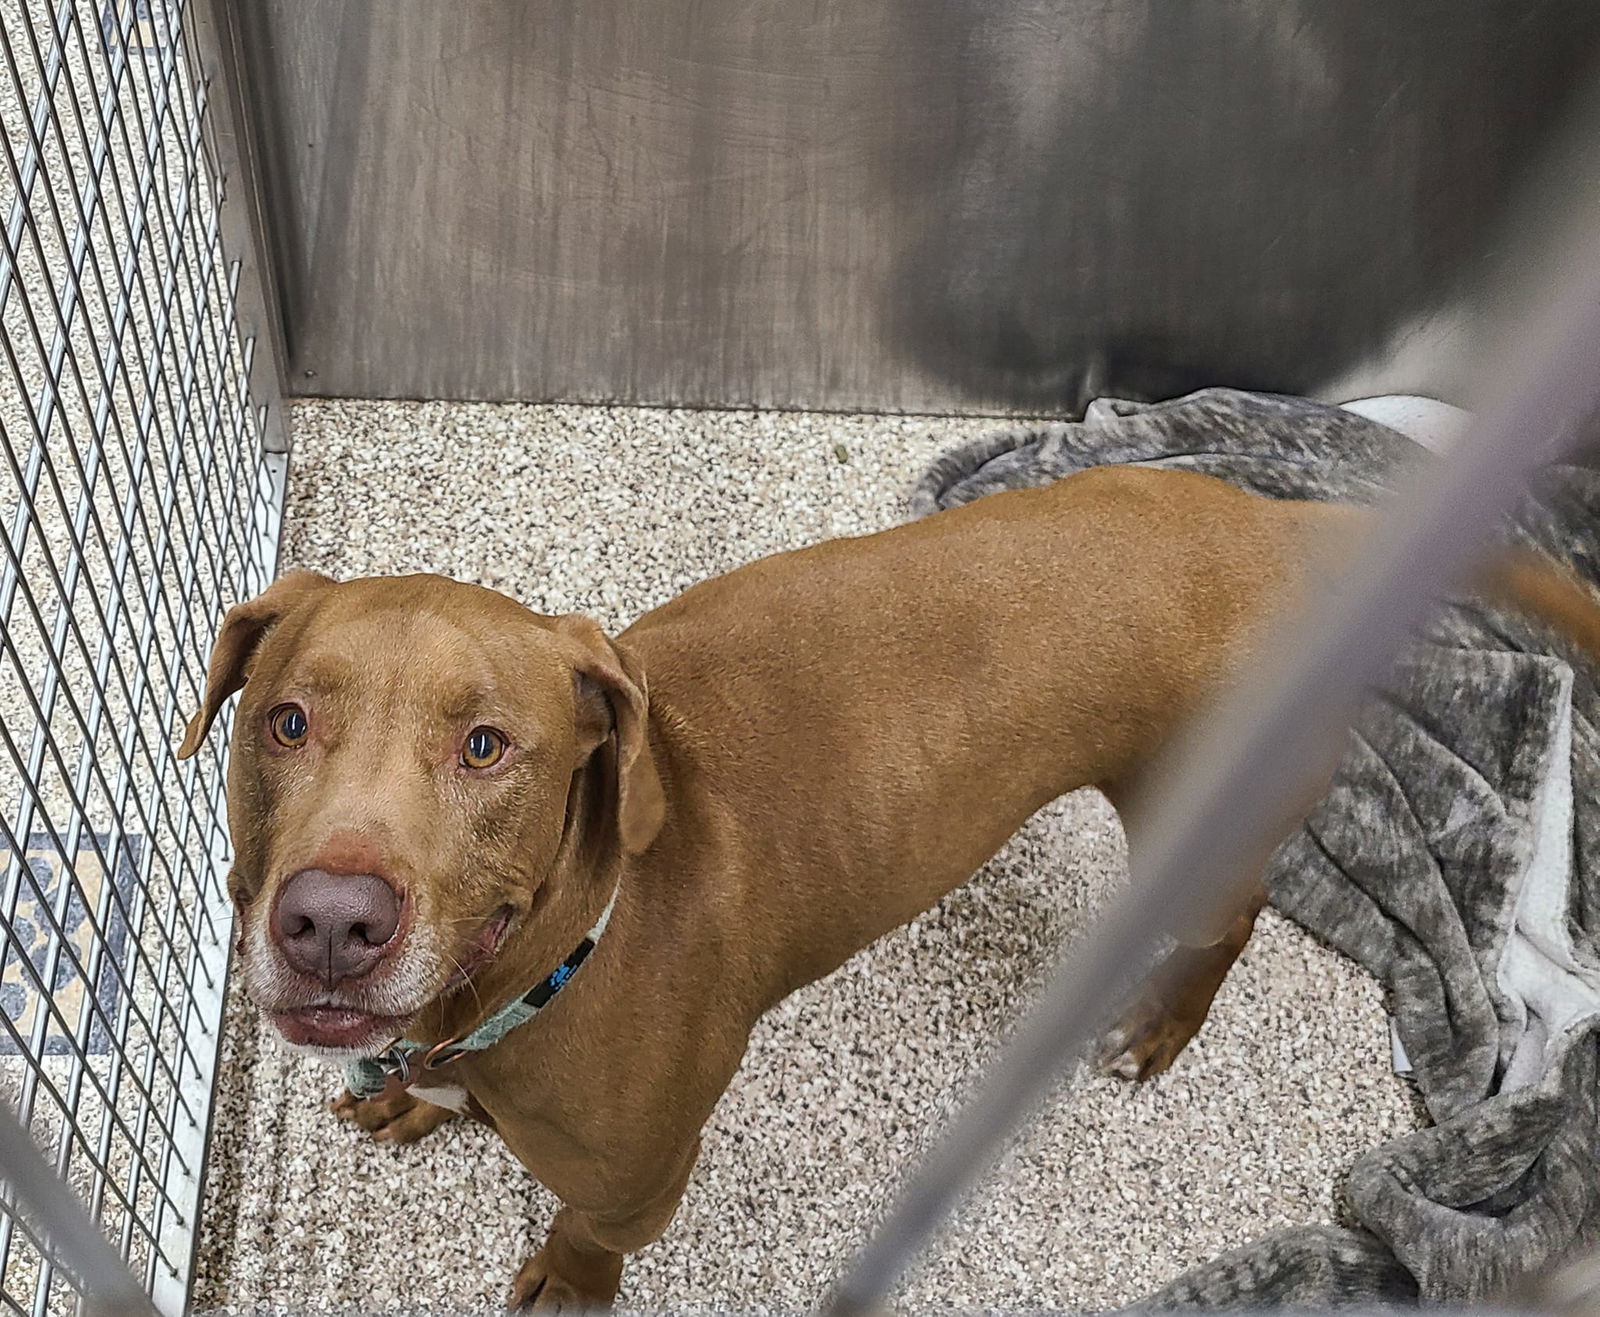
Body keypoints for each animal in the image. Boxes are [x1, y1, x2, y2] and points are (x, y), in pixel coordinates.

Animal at [175, 464, 1600, 1305]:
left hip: (1207, 829)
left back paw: (1155, 1028)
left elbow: (585, 1234)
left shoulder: (643, 1178)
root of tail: (1275, 521)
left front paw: (563, 1284)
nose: (331, 923)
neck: (550, 954)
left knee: (1233, 915)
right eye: (285, 721)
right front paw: (416, 1104)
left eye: (485, 746)